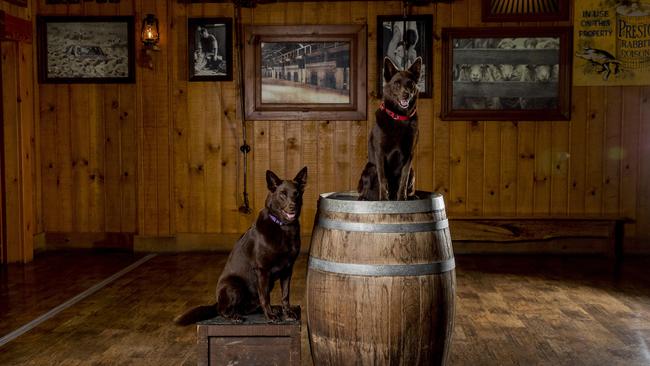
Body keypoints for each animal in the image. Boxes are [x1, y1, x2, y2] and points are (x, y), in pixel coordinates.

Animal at [173, 167, 308, 324]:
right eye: (282, 194)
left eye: (296, 193)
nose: (293, 207)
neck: (282, 227)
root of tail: (217, 301)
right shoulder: (262, 270)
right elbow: (265, 297)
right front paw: (270, 316)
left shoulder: (287, 269)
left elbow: (285, 295)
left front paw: (287, 313)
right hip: (234, 286)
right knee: (223, 310)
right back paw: (235, 316)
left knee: (247, 307)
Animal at [354, 57, 420, 202]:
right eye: (396, 83)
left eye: (410, 84)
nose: (406, 95)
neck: (399, 118)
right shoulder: (380, 152)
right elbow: (383, 178)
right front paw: (384, 199)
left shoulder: (409, 154)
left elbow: (404, 178)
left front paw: (402, 199)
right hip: (370, 168)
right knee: (366, 188)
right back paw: (365, 198)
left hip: (413, 171)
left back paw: (410, 196)